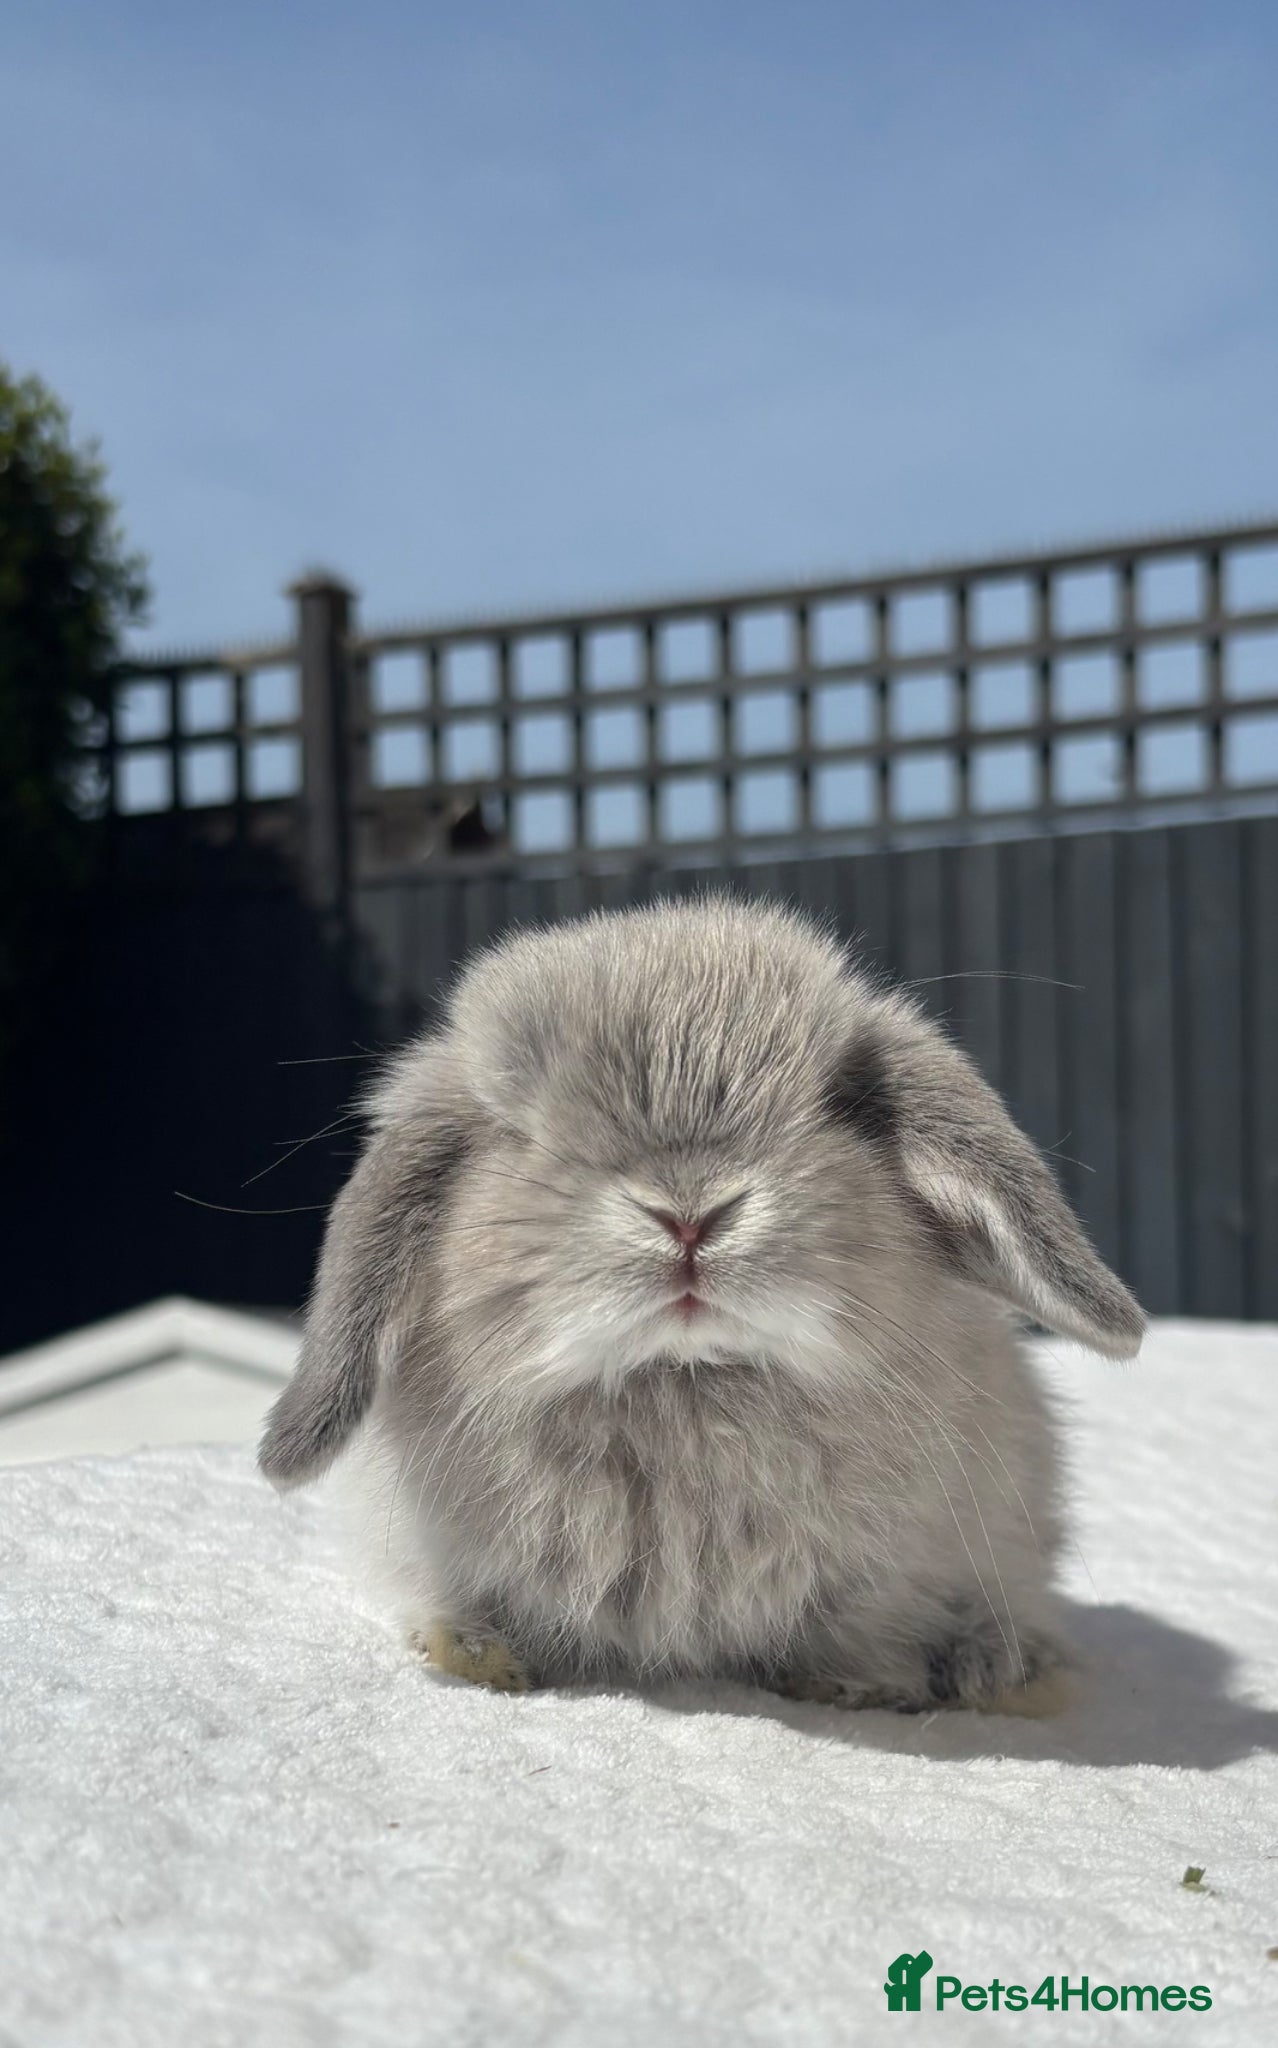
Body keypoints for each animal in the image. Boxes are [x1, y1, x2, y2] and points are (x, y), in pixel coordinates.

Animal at [259, 896, 1143, 1712]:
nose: (690, 1214)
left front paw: (856, 1683)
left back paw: (999, 1667)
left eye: (838, 1106)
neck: (684, 1377)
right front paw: (475, 1656)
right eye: (517, 1130)